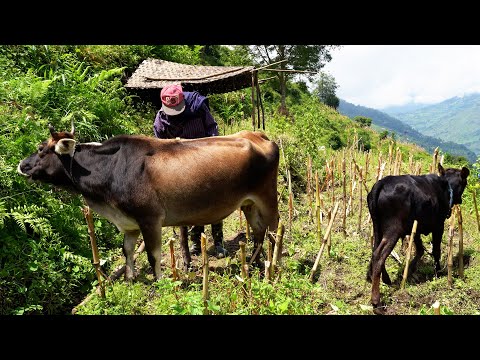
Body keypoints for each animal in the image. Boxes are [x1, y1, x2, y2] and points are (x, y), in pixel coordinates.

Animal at [17, 124, 282, 282]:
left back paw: (273, 265)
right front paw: (130, 278)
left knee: (274, 231)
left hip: (268, 198)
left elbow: (153, 255)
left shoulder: (150, 219)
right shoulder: (129, 223)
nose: (21, 165)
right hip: (248, 203)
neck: (110, 169)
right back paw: (254, 263)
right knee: (258, 232)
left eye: (40, 149)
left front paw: (160, 282)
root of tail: (257, 135)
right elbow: (127, 250)